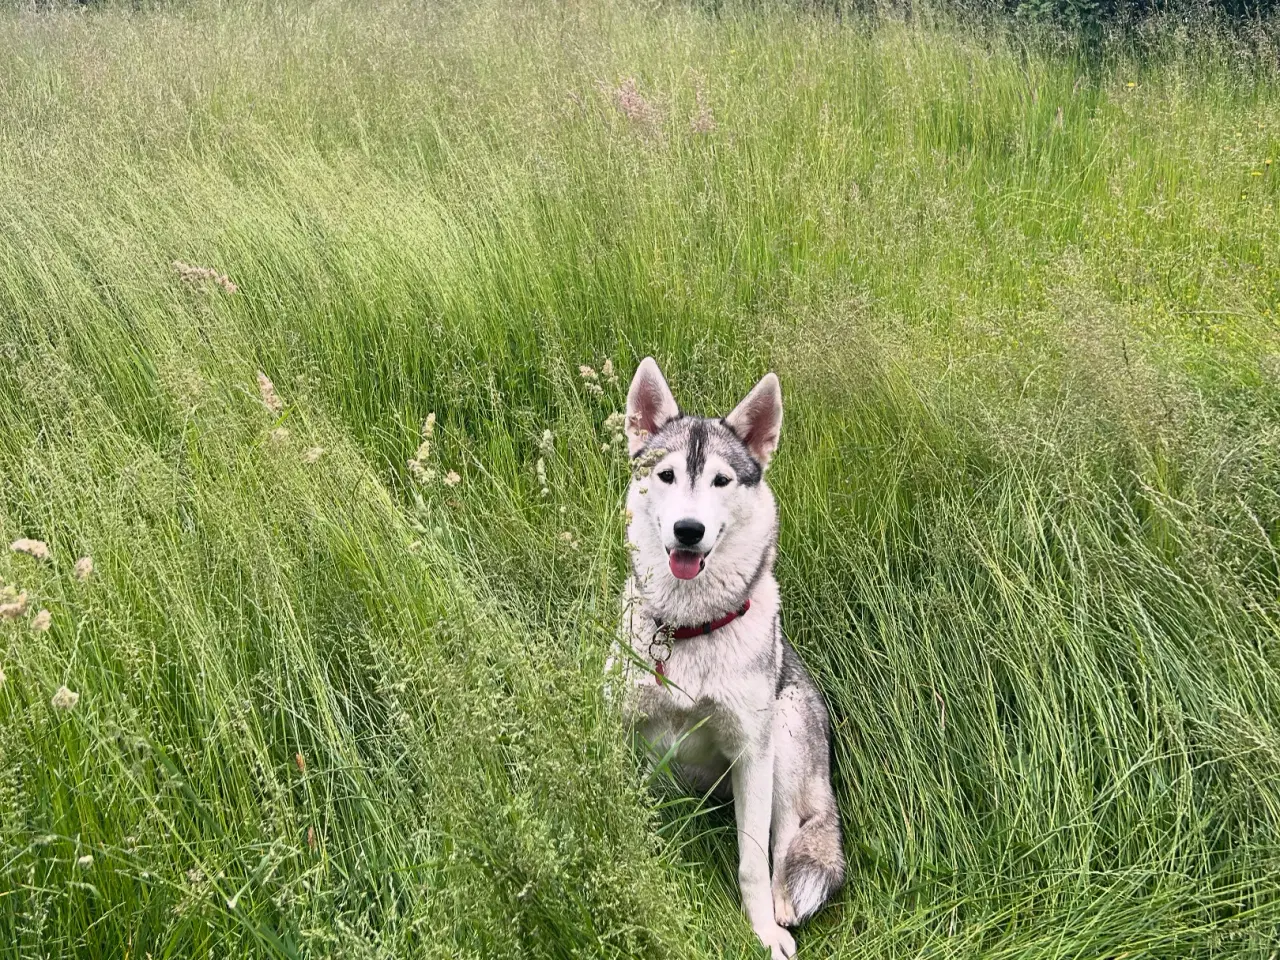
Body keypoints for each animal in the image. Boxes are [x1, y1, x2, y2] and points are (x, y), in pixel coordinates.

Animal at [611, 358, 844, 960]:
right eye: (666, 475)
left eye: (721, 480)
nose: (688, 530)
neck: (689, 628)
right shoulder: (619, 729)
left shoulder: (752, 753)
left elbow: (753, 863)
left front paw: (761, 930)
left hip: (785, 735)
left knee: (786, 842)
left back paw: (783, 906)